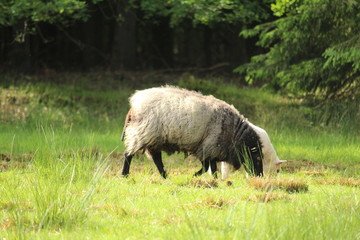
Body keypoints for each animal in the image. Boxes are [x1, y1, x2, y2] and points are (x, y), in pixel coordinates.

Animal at [122, 86, 286, 178]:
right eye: (257, 159)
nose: (259, 177)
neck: (235, 134)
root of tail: (134, 104)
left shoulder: (210, 148)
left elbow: (210, 167)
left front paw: (209, 179)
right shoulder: (209, 146)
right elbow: (208, 167)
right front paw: (199, 176)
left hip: (154, 139)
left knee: (157, 160)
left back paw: (164, 176)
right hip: (143, 133)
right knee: (129, 154)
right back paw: (125, 174)